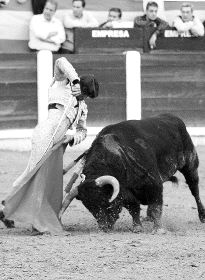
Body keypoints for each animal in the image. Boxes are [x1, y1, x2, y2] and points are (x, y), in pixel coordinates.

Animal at [60, 112, 205, 233]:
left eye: (104, 202)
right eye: (89, 208)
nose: (104, 228)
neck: (117, 159)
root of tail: (174, 118)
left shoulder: (154, 183)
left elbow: (156, 206)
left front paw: (158, 229)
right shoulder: (127, 193)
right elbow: (134, 208)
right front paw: (137, 227)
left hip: (190, 164)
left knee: (195, 189)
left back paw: (202, 216)